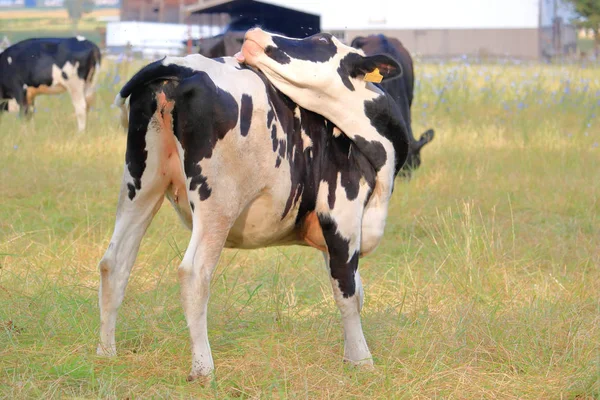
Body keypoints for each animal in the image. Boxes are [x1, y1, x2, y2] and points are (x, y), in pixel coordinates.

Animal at [98, 39, 410, 380]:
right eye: (321, 40)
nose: (255, 40)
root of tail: (181, 65)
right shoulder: (341, 214)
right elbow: (348, 293)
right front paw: (361, 360)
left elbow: (356, 289)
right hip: (217, 202)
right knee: (194, 272)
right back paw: (203, 368)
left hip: (141, 184)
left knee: (114, 263)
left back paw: (106, 354)